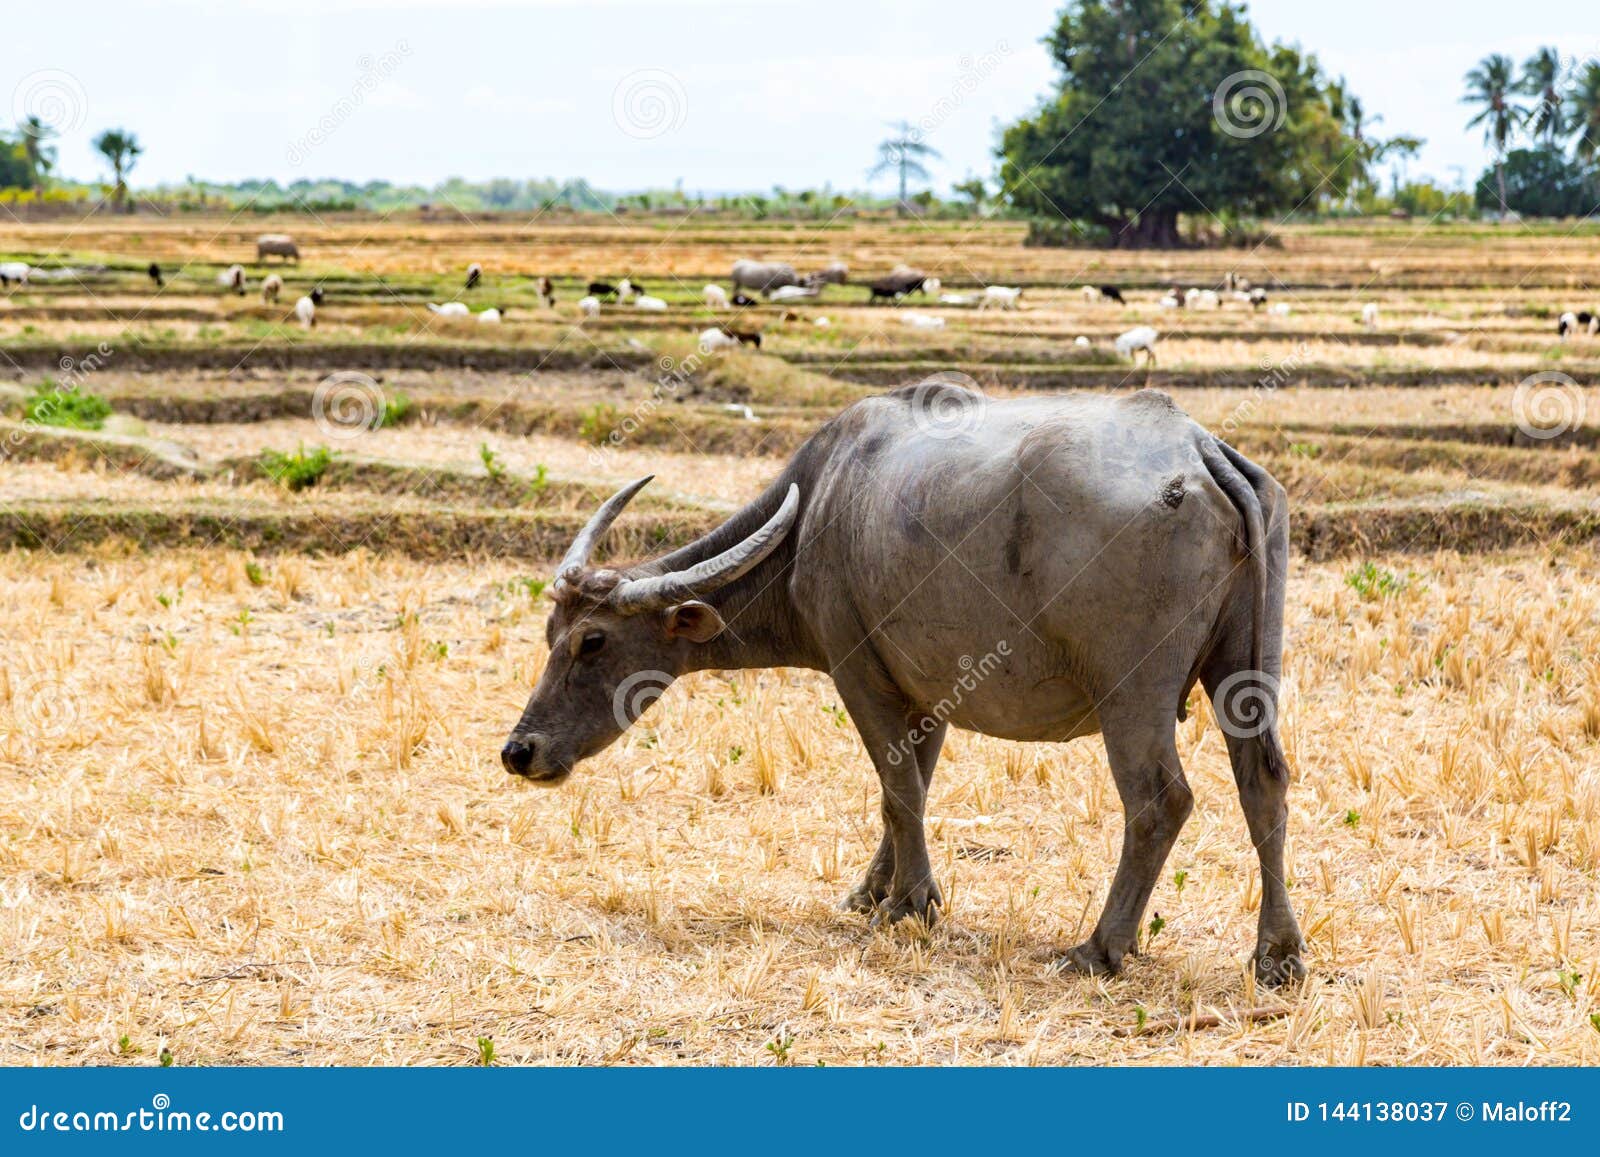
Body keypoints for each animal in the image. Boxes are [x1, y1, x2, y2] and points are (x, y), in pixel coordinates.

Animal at [505, 388, 1305, 985]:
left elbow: (897, 788)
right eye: (550, 633)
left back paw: (1101, 946)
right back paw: (1277, 954)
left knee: (1159, 800)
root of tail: (1196, 449)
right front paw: (876, 890)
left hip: (1130, 694)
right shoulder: (927, 690)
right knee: (1262, 781)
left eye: (592, 642)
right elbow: (912, 782)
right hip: (1243, 669)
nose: (520, 750)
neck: (818, 514)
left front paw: (909, 904)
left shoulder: (859, 672)